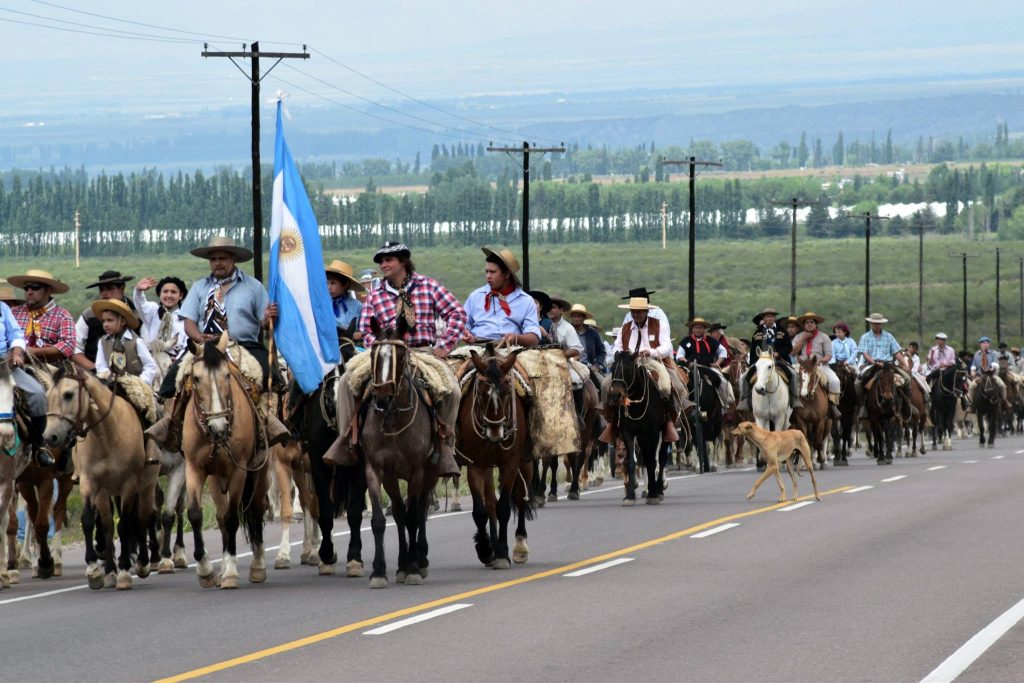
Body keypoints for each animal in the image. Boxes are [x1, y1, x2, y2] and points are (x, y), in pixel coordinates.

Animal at [44, 366, 156, 589]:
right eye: (48, 395)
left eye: (68, 394)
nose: (50, 437)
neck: (107, 434)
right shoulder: (91, 484)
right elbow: (92, 521)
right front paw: (96, 571)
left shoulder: (129, 485)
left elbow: (125, 524)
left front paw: (124, 571)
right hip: (108, 492)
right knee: (110, 523)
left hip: (147, 484)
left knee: (143, 516)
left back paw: (143, 563)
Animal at [181, 335, 270, 589]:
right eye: (196, 378)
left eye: (227, 376)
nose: (219, 427)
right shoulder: (194, 468)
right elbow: (195, 514)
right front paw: (205, 570)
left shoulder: (239, 471)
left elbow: (232, 518)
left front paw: (230, 571)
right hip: (216, 477)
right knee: (221, 515)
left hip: (260, 471)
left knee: (256, 509)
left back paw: (258, 566)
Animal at [360, 319, 440, 589]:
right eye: (373, 354)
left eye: (402, 356)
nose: (383, 397)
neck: (393, 420)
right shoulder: (376, 470)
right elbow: (380, 520)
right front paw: (378, 571)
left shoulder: (417, 471)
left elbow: (415, 516)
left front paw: (414, 569)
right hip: (393, 477)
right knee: (399, 512)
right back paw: (403, 564)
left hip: (431, 473)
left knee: (421, 508)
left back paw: (420, 559)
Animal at [458, 344, 536, 569]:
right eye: (481, 393)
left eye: (507, 393)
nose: (496, 432)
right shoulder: (476, 465)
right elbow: (480, 510)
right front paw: (485, 549)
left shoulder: (509, 464)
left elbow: (504, 507)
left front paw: (502, 553)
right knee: (491, 502)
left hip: (525, 463)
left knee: (520, 499)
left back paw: (520, 546)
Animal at [602, 356, 667, 505]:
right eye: (612, 368)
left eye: (629, 370)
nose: (616, 395)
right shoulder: (628, 434)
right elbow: (632, 462)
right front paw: (630, 495)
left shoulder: (653, 433)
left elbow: (652, 462)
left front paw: (653, 494)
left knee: (661, 458)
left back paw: (659, 488)